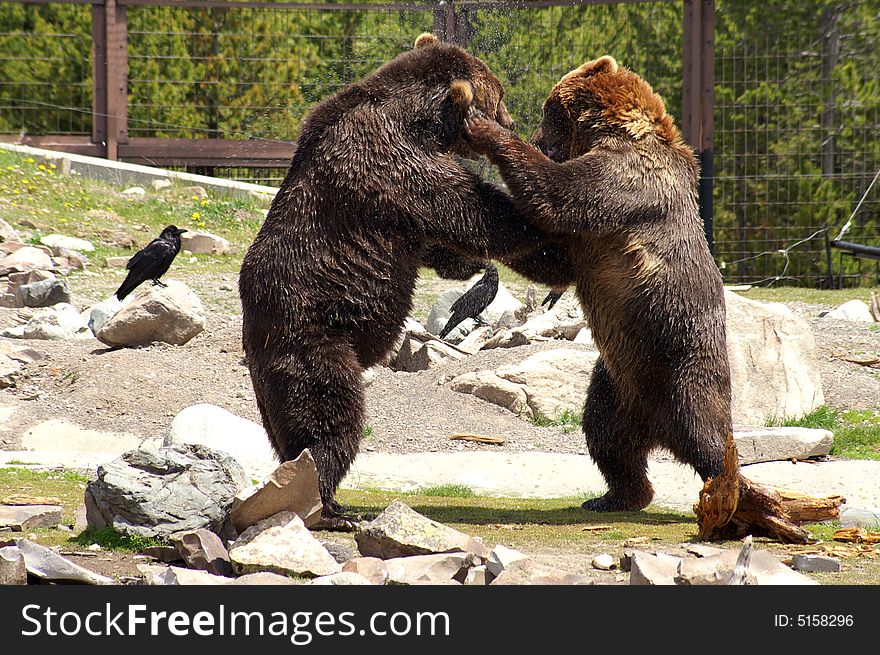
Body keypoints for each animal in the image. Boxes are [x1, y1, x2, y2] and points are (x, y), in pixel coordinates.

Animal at [241, 33, 572, 532]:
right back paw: (329, 507)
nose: (511, 119)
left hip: (273, 386)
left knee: (290, 438)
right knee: (330, 418)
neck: (421, 120)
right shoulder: (395, 165)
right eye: (499, 96)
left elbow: (440, 240)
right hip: (313, 341)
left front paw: (465, 262)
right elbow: (474, 211)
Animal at [464, 56, 732, 516]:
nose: (537, 136)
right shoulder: (586, 242)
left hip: (681, 359)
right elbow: (554, 262)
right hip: (616, 382)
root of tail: (657, 428)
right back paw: (616, 495)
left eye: (546, 112)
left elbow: (557, 193)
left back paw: (735, 492)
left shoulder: (625, 180)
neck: (608, 133)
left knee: (706, 432)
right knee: (606, 437)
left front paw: (483, 128)